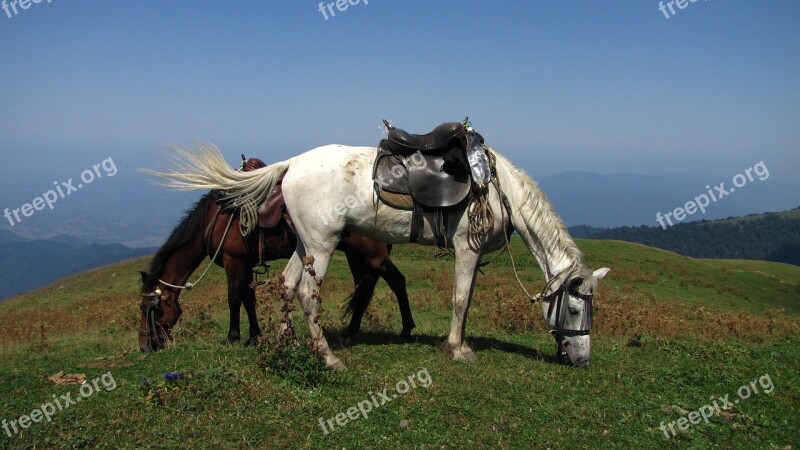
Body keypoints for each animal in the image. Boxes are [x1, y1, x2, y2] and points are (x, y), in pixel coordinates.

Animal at [138, 157, 416, 352]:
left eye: (150, 310)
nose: (146, 346)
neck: (215, 219)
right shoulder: (245, 263)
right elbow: (248, 298)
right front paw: (254, 336)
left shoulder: (233, 260)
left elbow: (234, 298)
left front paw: (232, 337)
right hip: (356, 254)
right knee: (364, 285)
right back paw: (352, 330)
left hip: (372, 255)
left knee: (396, 281)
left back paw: (406, 328)